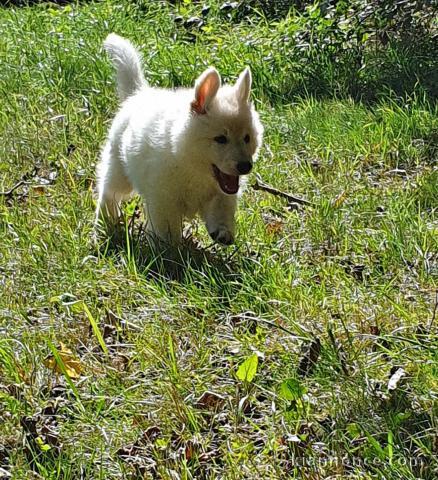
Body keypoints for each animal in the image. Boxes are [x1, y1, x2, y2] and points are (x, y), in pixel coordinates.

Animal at [96, 33, 264, 246]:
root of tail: (139, 93)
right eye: (220, 139)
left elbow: (221, 208)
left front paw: (222, 231)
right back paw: (105, 222)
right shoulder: (163, 198)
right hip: (119, 169)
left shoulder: (222, 192)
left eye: (247, 138)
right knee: (108, 192)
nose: (245, 166)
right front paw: (168, 248)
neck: (192, 165)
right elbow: (167, 228)